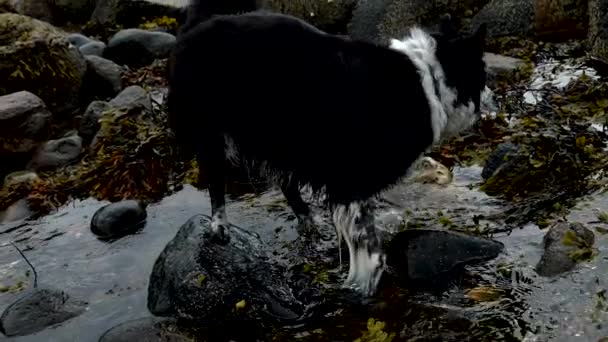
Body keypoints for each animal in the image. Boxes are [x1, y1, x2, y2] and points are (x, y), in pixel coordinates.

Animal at [167, 0, 490, 296]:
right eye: (483, 76)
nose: (491, 100)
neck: (429, 83)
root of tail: (197, 26)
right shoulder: (352, 182)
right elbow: (366, 243)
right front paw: (363, 285)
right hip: (213, 132)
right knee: (216, 181)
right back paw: (219, 227)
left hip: (281, 139)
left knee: (287, 186)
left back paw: (308, 221)